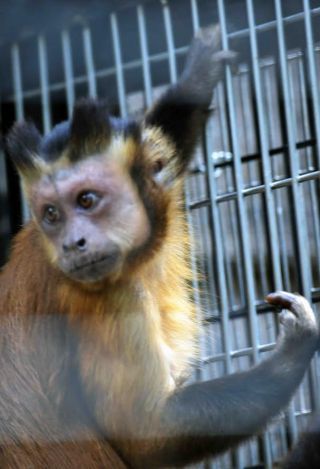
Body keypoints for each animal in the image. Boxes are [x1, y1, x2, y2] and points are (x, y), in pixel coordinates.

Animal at [1, 26, 318, 468]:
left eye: (86, 200)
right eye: (52, 214)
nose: (71, 244)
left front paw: (194, 80)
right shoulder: (107, 297)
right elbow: (149, 437)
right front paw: (294, 350)